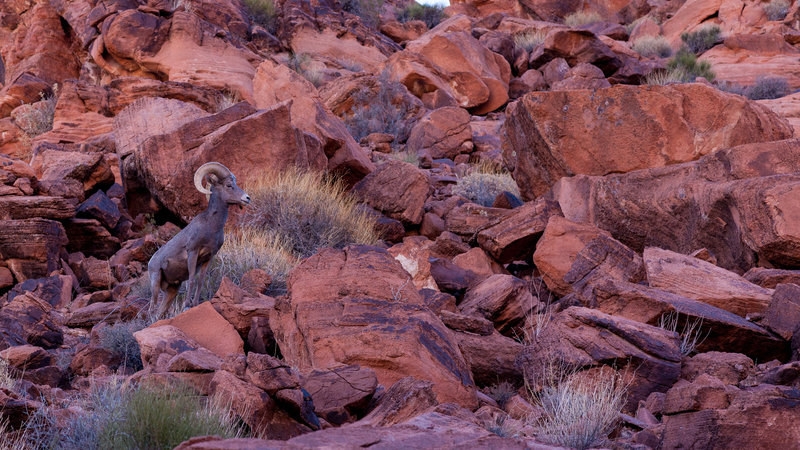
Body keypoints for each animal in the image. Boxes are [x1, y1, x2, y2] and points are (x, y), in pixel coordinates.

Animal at [147, 162, 252, 316]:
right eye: (228, 185)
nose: (247, 198)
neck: (211, 227)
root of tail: (150, 262)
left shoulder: (209, 257)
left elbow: (200, 281)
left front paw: (195, 304)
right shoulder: (193, 252)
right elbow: (191, 280)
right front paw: (187, 305)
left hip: (172, 290)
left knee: (159, 313)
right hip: (155, 281)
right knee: (152, 309)